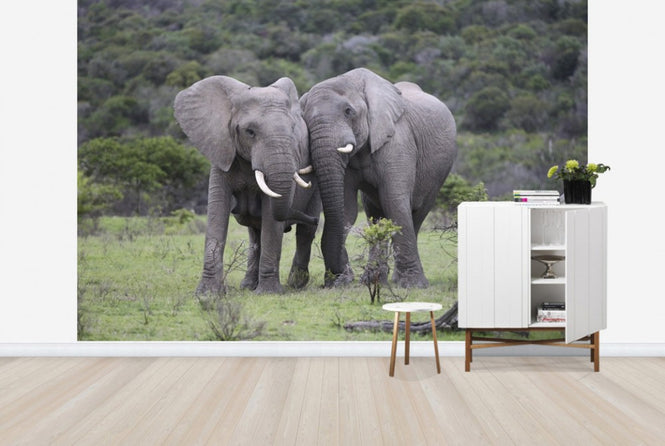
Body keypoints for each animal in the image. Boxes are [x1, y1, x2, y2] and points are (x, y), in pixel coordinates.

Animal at [174, 75, 320, 296]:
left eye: (293, 131)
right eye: (250, 132)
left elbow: (271, 218)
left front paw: (268, 293)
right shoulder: (221, 150)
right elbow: (217, 213)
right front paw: (208, 293)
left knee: (304, 232)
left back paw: (295, 283)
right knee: (255, 232)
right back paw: (248, 286)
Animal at [300, 68, 457, 288]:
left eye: (348, 111)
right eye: (304, 118)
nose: (337, 278)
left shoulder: (398, 141)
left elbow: (394, 202)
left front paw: (413, 285)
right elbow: (347, 209)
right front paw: (341, 282)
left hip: (438, 175)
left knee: (416, 213)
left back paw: (398, 280)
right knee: (376, 215)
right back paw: (375, 280)